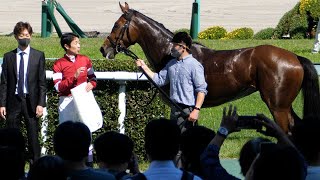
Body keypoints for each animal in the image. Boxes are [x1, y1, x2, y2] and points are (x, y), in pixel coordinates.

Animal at [100, 2, 320, 133]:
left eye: (117, 25)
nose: (104, 49)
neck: (174, 54)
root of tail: (295, 57)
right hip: (285, 105)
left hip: (277, 106)